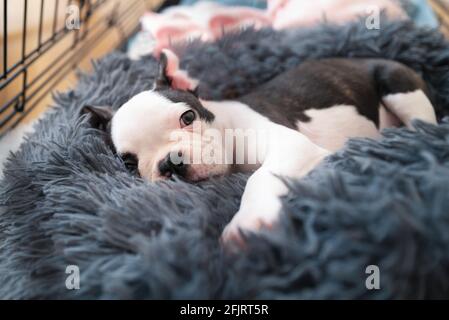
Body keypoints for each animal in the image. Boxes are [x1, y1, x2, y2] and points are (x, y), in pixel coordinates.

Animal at [82, 48, 436, 241]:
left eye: (187, 117)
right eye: (129, 164)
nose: (171, 162)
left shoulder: (291, 146)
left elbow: (259, 177)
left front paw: (248, 224)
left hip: (397, 85)